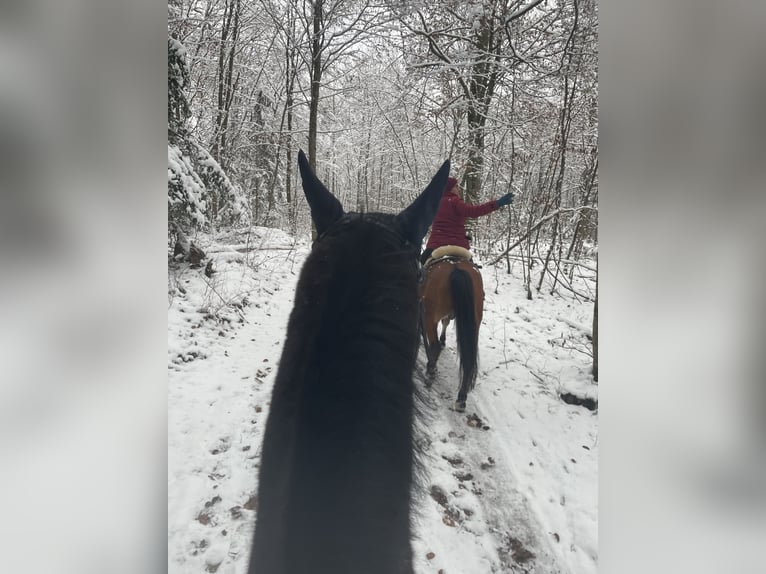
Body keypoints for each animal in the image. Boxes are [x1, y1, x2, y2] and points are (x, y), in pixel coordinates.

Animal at [420, 254, 486, 412]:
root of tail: (457, 268)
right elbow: (446, 322)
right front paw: (443, 339)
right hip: (474, 321)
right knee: (469, 358)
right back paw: (461, 398)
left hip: (429, 317)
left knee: (434, 346)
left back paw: (431, 371)